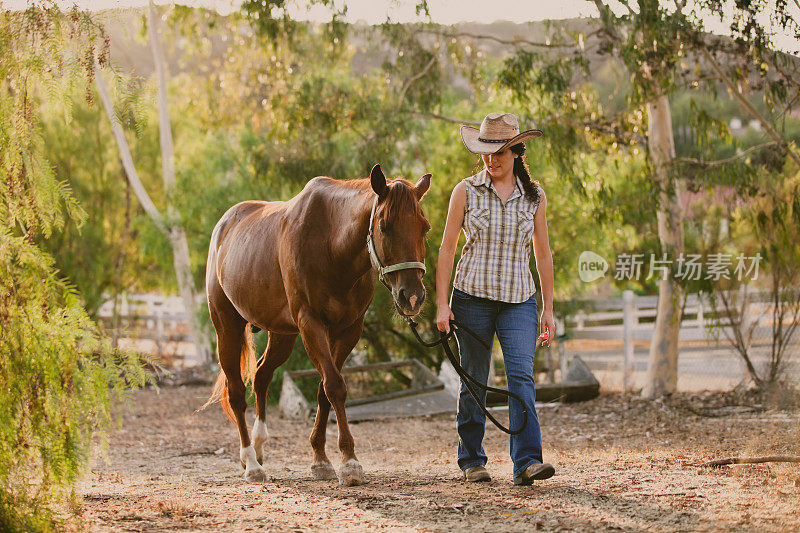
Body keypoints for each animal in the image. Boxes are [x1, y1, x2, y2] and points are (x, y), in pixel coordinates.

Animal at [206, 164, 432, 484]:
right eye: (384, 225)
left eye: (424, 227)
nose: (412, 296)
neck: (331, 245)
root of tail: (225, 224)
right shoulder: (310, 324)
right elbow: (335, 386)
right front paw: (349, 461)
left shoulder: (348, 330)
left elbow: (324, 391)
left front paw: (321, 459)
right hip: (227, 328)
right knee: (237, 392)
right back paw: (250, 462)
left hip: (282, 335)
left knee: (261, 376)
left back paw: (259, 447)